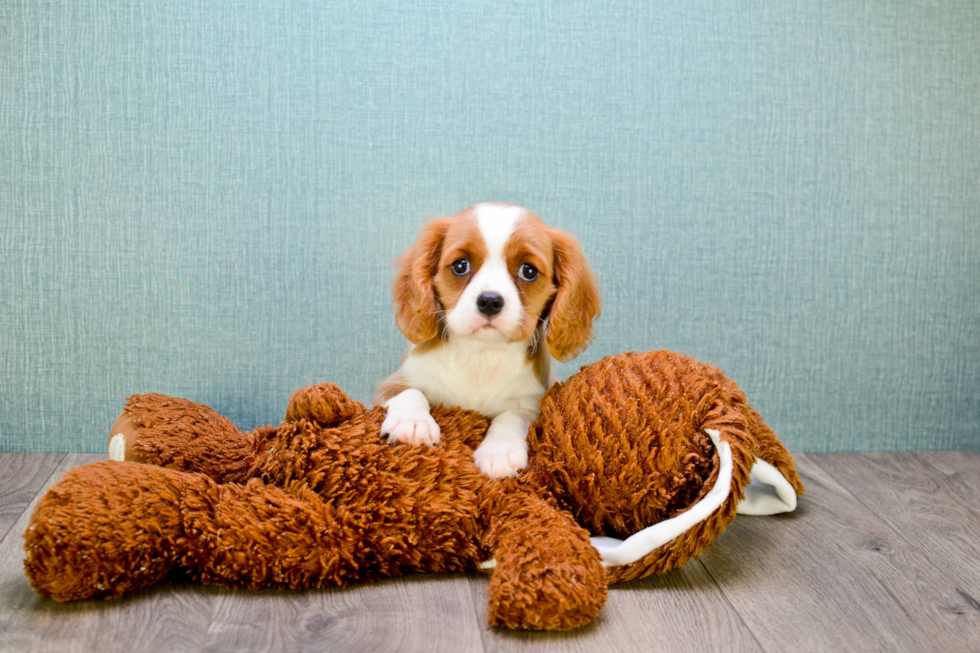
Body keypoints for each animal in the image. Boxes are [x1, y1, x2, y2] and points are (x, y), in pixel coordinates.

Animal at [376, 201, 600, 476]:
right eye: (460, 265)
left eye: (528, 271)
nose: (490, 301)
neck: (481, 353)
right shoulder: (391, 384)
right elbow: (408, 391)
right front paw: (412, 422)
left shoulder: (532, 404)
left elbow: (511, 416)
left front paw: (499, 452)